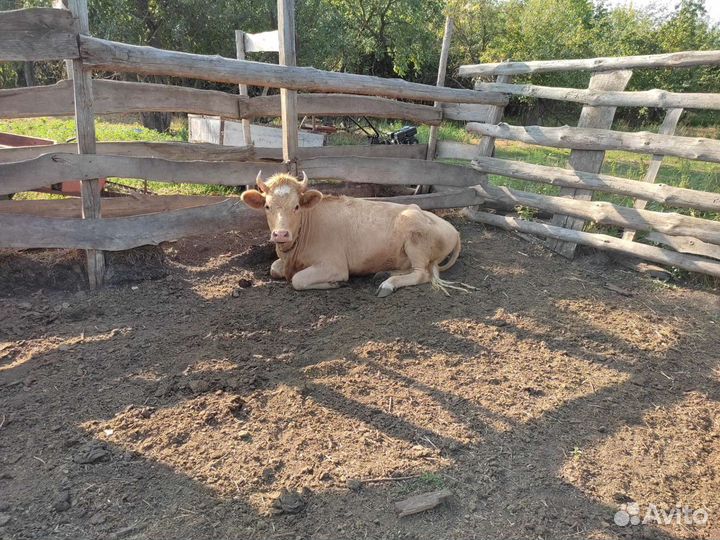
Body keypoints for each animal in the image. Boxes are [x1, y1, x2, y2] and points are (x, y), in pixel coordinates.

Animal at [240, 171, 474, 297]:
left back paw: (387, 284)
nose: (281, 234)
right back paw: (383, 274)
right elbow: (274, 268)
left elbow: (297, 280)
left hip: (414, 236)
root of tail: (453, 229)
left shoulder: (334, 265)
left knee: (422, 274)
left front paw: (336, 284)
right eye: (267, 206)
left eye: (296, 206)